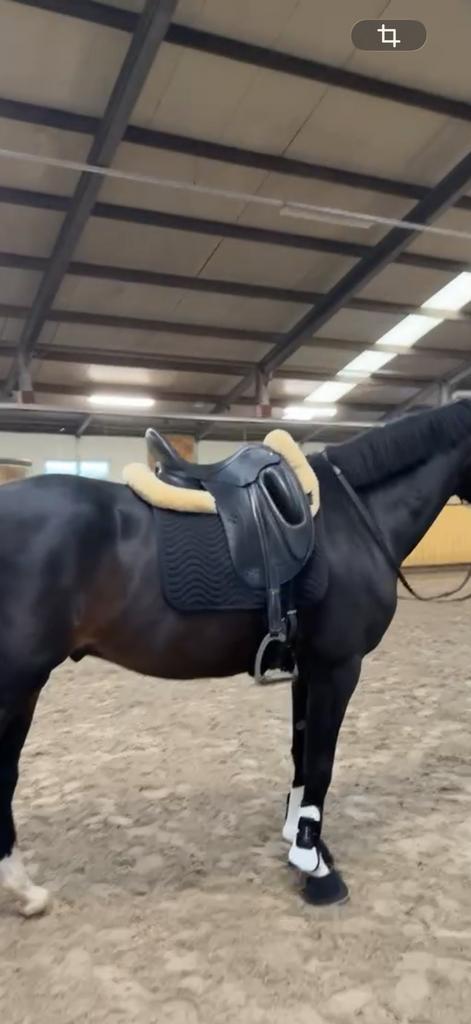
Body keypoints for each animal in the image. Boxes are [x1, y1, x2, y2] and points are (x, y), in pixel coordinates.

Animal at [0, 399, 470, 916]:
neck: (356, 520)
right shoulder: (339, 666)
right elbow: (321, 761)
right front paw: (316, 869)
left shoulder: (308, 668)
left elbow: (302, 751)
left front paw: (302, 842)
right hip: (17, 683)